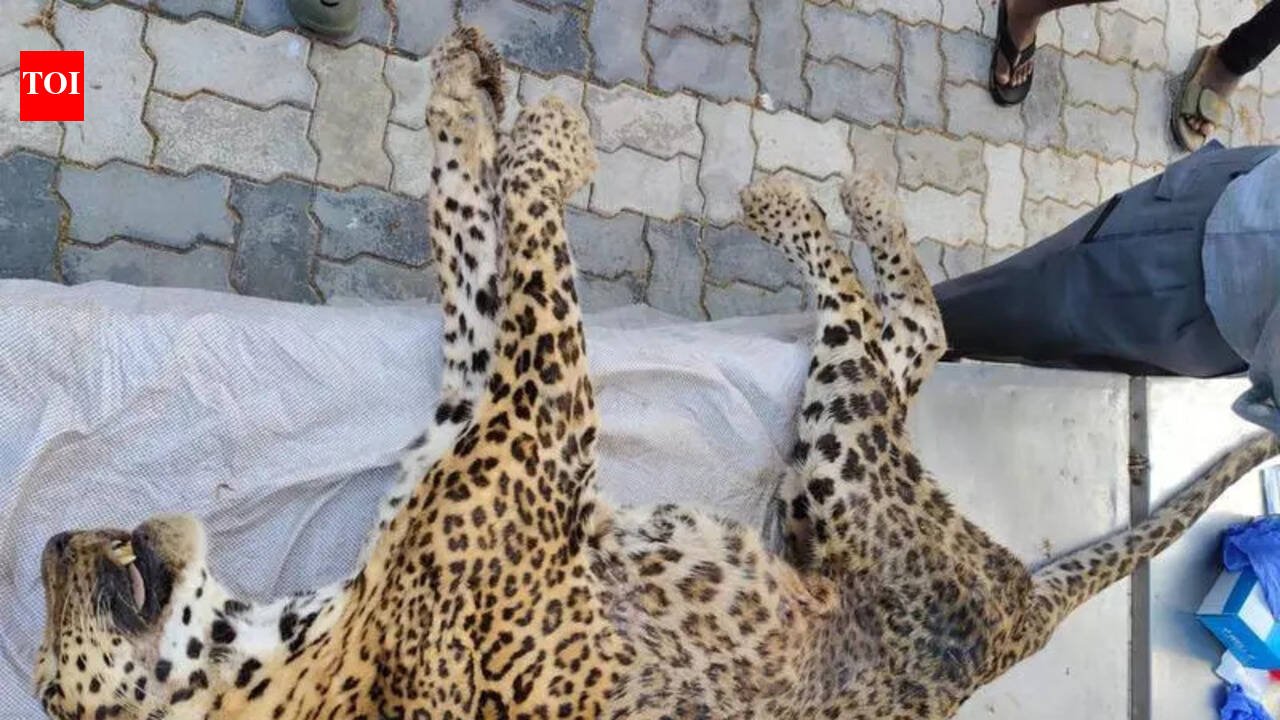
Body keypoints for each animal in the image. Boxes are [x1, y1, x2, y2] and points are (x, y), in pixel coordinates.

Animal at [33, 27, 1280, 720]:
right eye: (43, 685)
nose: (52, 541)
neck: (287, 641)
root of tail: (1019, 611)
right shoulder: (537, 414)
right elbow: (526, 228)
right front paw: (550, 137)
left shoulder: (473, 409)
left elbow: (463, 223)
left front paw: (467, 92)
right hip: (840, 471)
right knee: (898, 327)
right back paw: (803, 198)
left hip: (820, 481)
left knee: (908, 335)